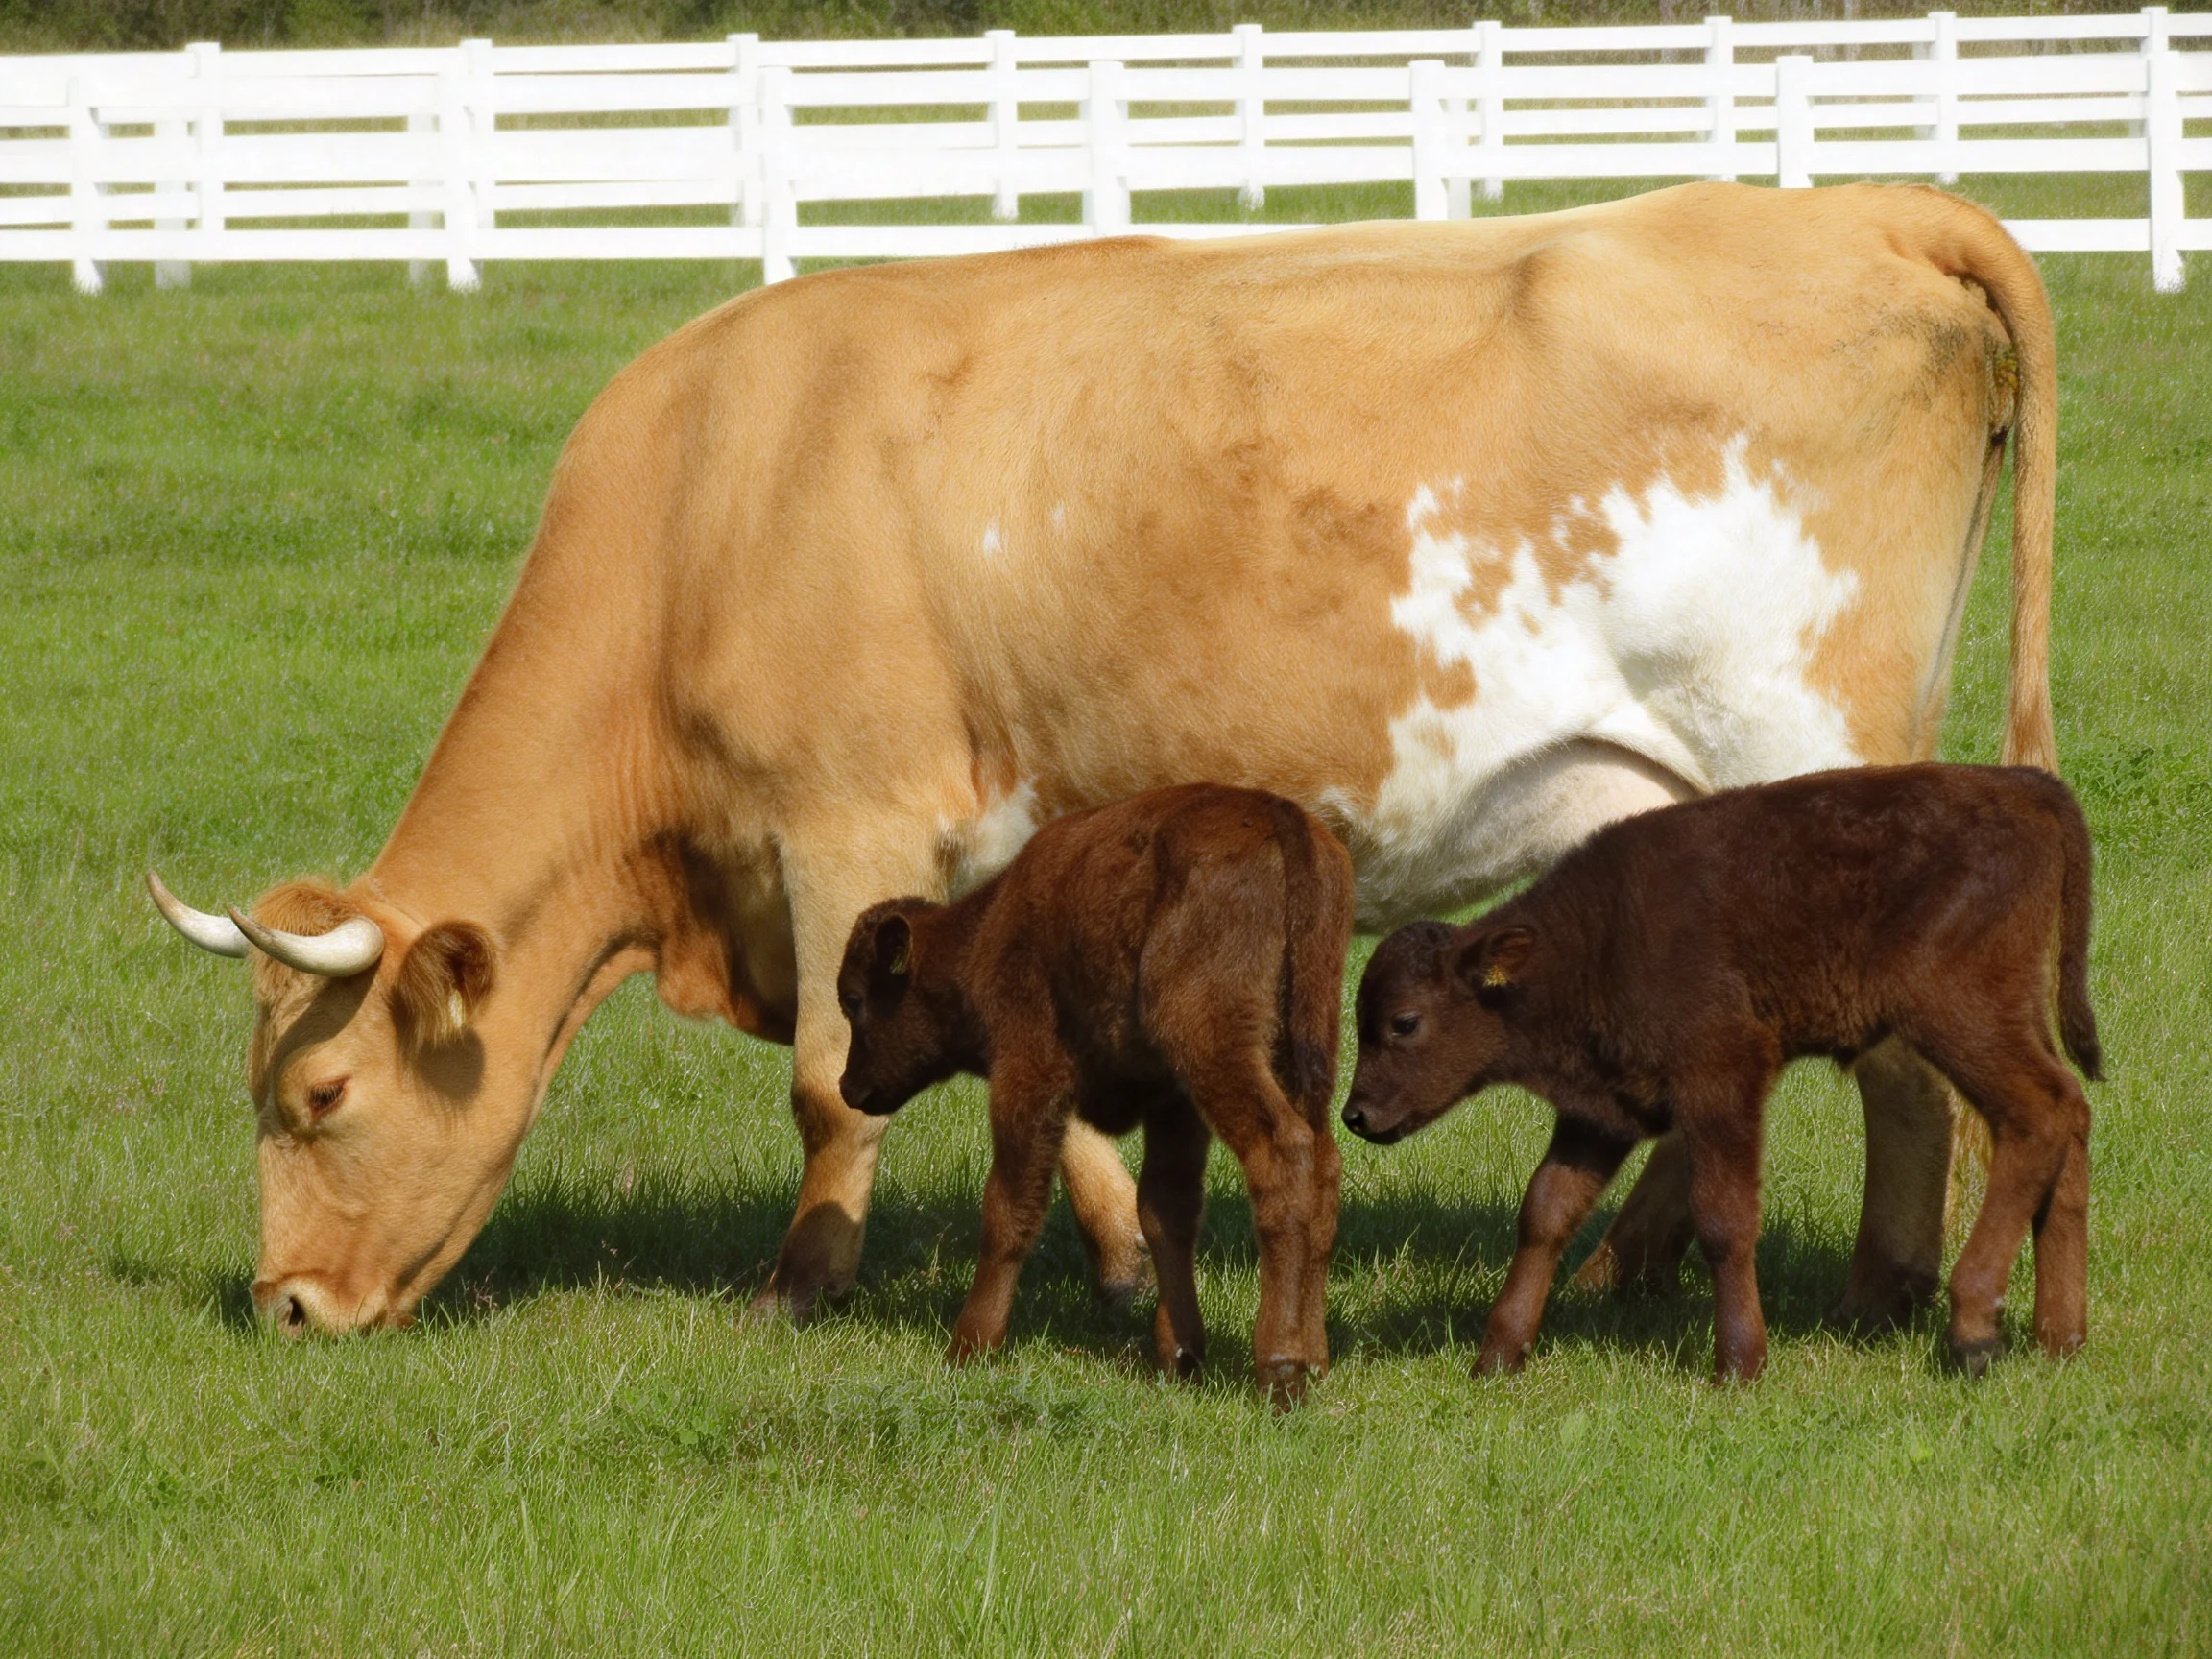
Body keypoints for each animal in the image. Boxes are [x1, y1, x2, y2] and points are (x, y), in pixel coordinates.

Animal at [147, 180, 2058, 1337]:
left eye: (318, 1097)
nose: (286, 1306)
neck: (714, 500)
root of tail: (1846, 207)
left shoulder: (846, 824)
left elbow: (832, 1082)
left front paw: (803, 1284)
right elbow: (1034, 1072)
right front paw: (1134, 1254)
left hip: (1807, 749)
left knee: (1896, 1060)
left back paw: (1883, 1288)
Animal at [835, 784, 1356, 1402]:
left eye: (854, 999)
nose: (848, 1086)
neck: (988, 929)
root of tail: (1278, 814)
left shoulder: (1027, 1073)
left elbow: (1009, 1207)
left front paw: (969, 1345)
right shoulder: (1172, 1102)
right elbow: (1164, 1212)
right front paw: (1179, 1354)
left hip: (1212, 1044)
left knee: (1280, 1154)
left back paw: (1280, 1368)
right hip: (1304, 1050)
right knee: (1322, 1167)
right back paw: (1316, 1357)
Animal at [1343, 764, 2100, 1382]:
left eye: (1404, 1022)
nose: (1356, 1115)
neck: (1591, 943)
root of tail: (2020, 786)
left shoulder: (1723, 1079)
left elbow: (1723, 1218)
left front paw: (1739, 1362)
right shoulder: (1599, 1112)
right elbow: (1545, 1212)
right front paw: (1498, 1354)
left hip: (1961, 1017)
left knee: (2041, 1114)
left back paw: (1974, 1330)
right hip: (2012, 1016)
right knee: (2072, 1118)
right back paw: (2060, 1337)